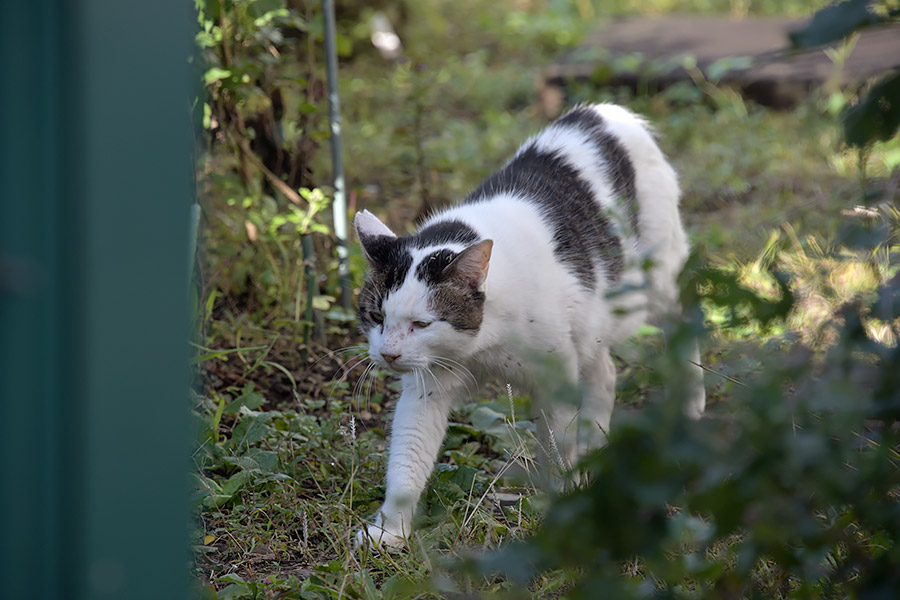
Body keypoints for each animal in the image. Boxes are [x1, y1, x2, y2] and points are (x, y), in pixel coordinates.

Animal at [352, 102, 704, 548]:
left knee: (686, 324)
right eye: (376, 317)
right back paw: (595, 445)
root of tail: (602, 110)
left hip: (661, 281)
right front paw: (390, 530)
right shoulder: (426, 389)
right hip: (591, 321)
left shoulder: (555, 376)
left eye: (421, 323)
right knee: (605, 373)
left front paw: (566, 504)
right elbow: (408, 457)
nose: (388, 354)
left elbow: (556, 446)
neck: (481, 345)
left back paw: (691, 406)